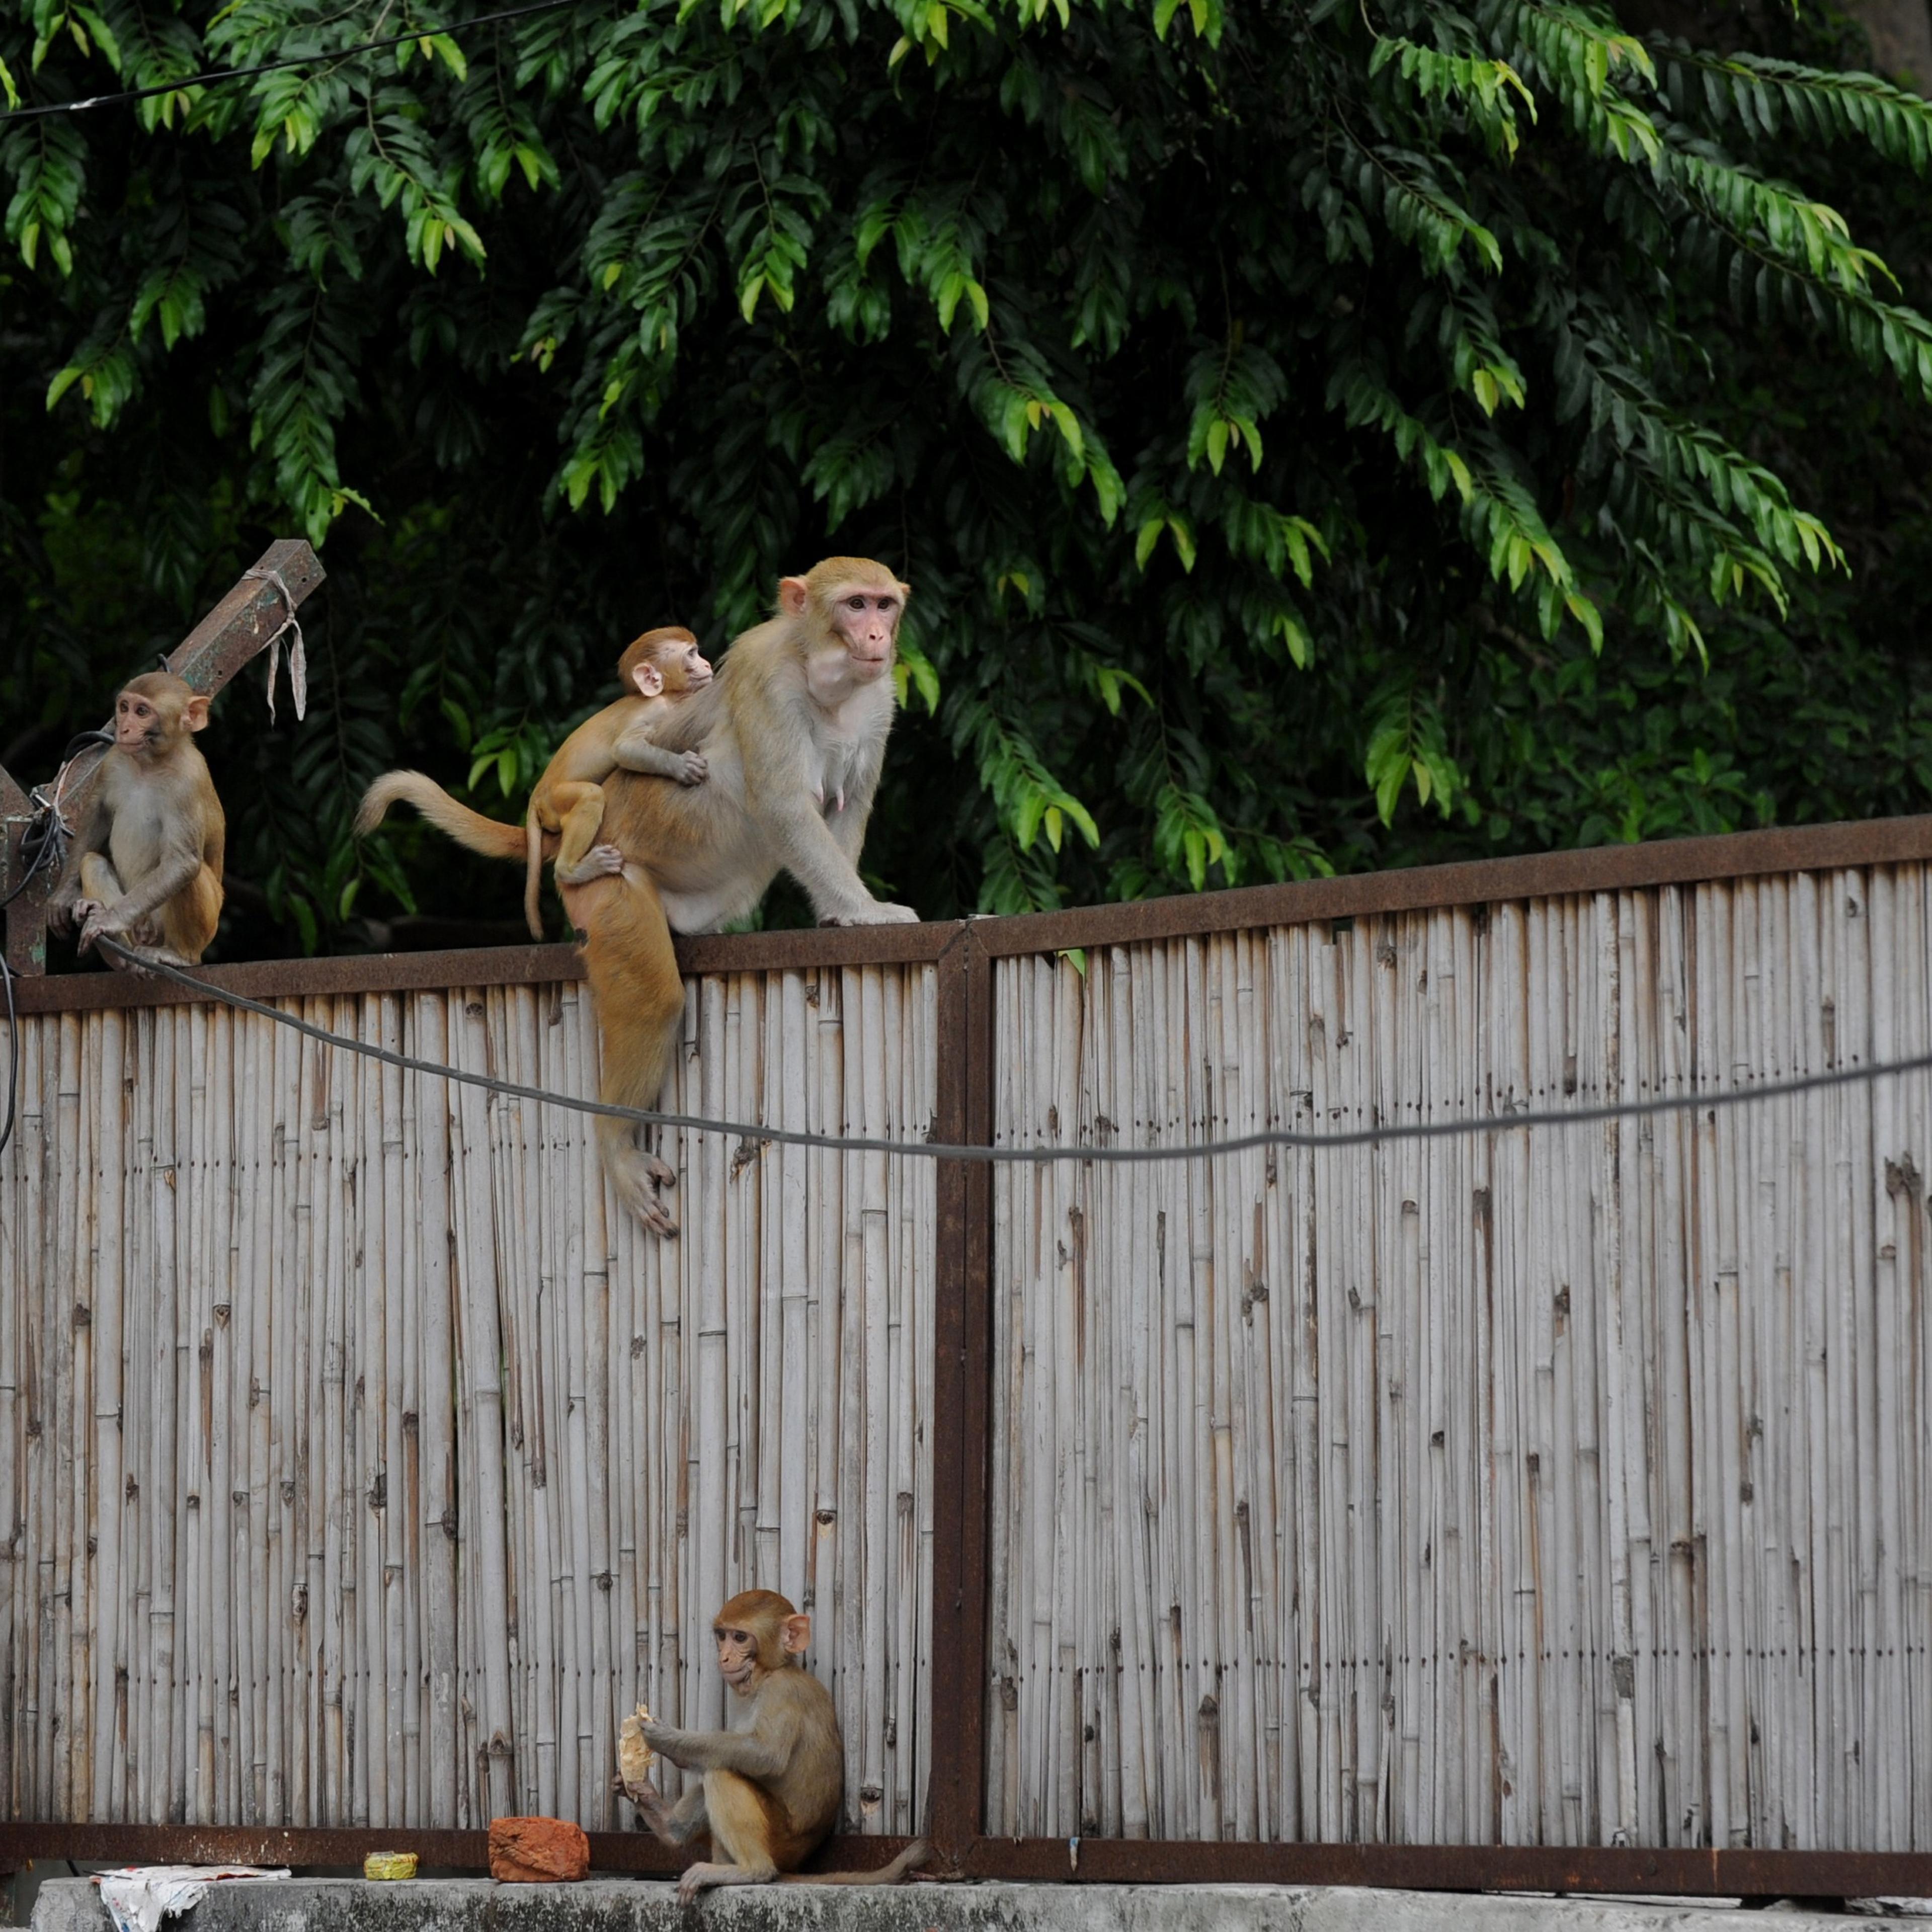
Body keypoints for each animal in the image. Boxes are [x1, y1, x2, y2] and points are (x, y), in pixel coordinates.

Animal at [50, 672, 225, 969]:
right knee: (93, 862)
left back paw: (178, 956)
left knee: (191, 873)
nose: (124, 729)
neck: (150, 765)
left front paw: (110, 921)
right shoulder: (113, 760)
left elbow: (182, 862)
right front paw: (64, 896)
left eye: (142, 712)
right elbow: (97, 816)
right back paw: (120, 950)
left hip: (201, 927)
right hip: (139, 925)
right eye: (124, 708)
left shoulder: (189, 781)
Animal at [520, 626, 713, 940]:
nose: (707, 664)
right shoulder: (657, 710)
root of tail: (536, 796)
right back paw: (571, 871)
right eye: (692, 655)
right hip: (555, 802)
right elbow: (624, 750)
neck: (668, 696)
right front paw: (681, 767)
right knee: (591, 796)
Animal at [622, 1588, 930, 1900]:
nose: (724, 1657)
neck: (770, 1671)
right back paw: (669, 1826)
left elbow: (765, 1755)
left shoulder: (782, 1691)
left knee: (722, 1772)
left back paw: (751, 1870)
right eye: (722, 1635)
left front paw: (670, 1741)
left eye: (740, 1638)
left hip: (780, 1841)